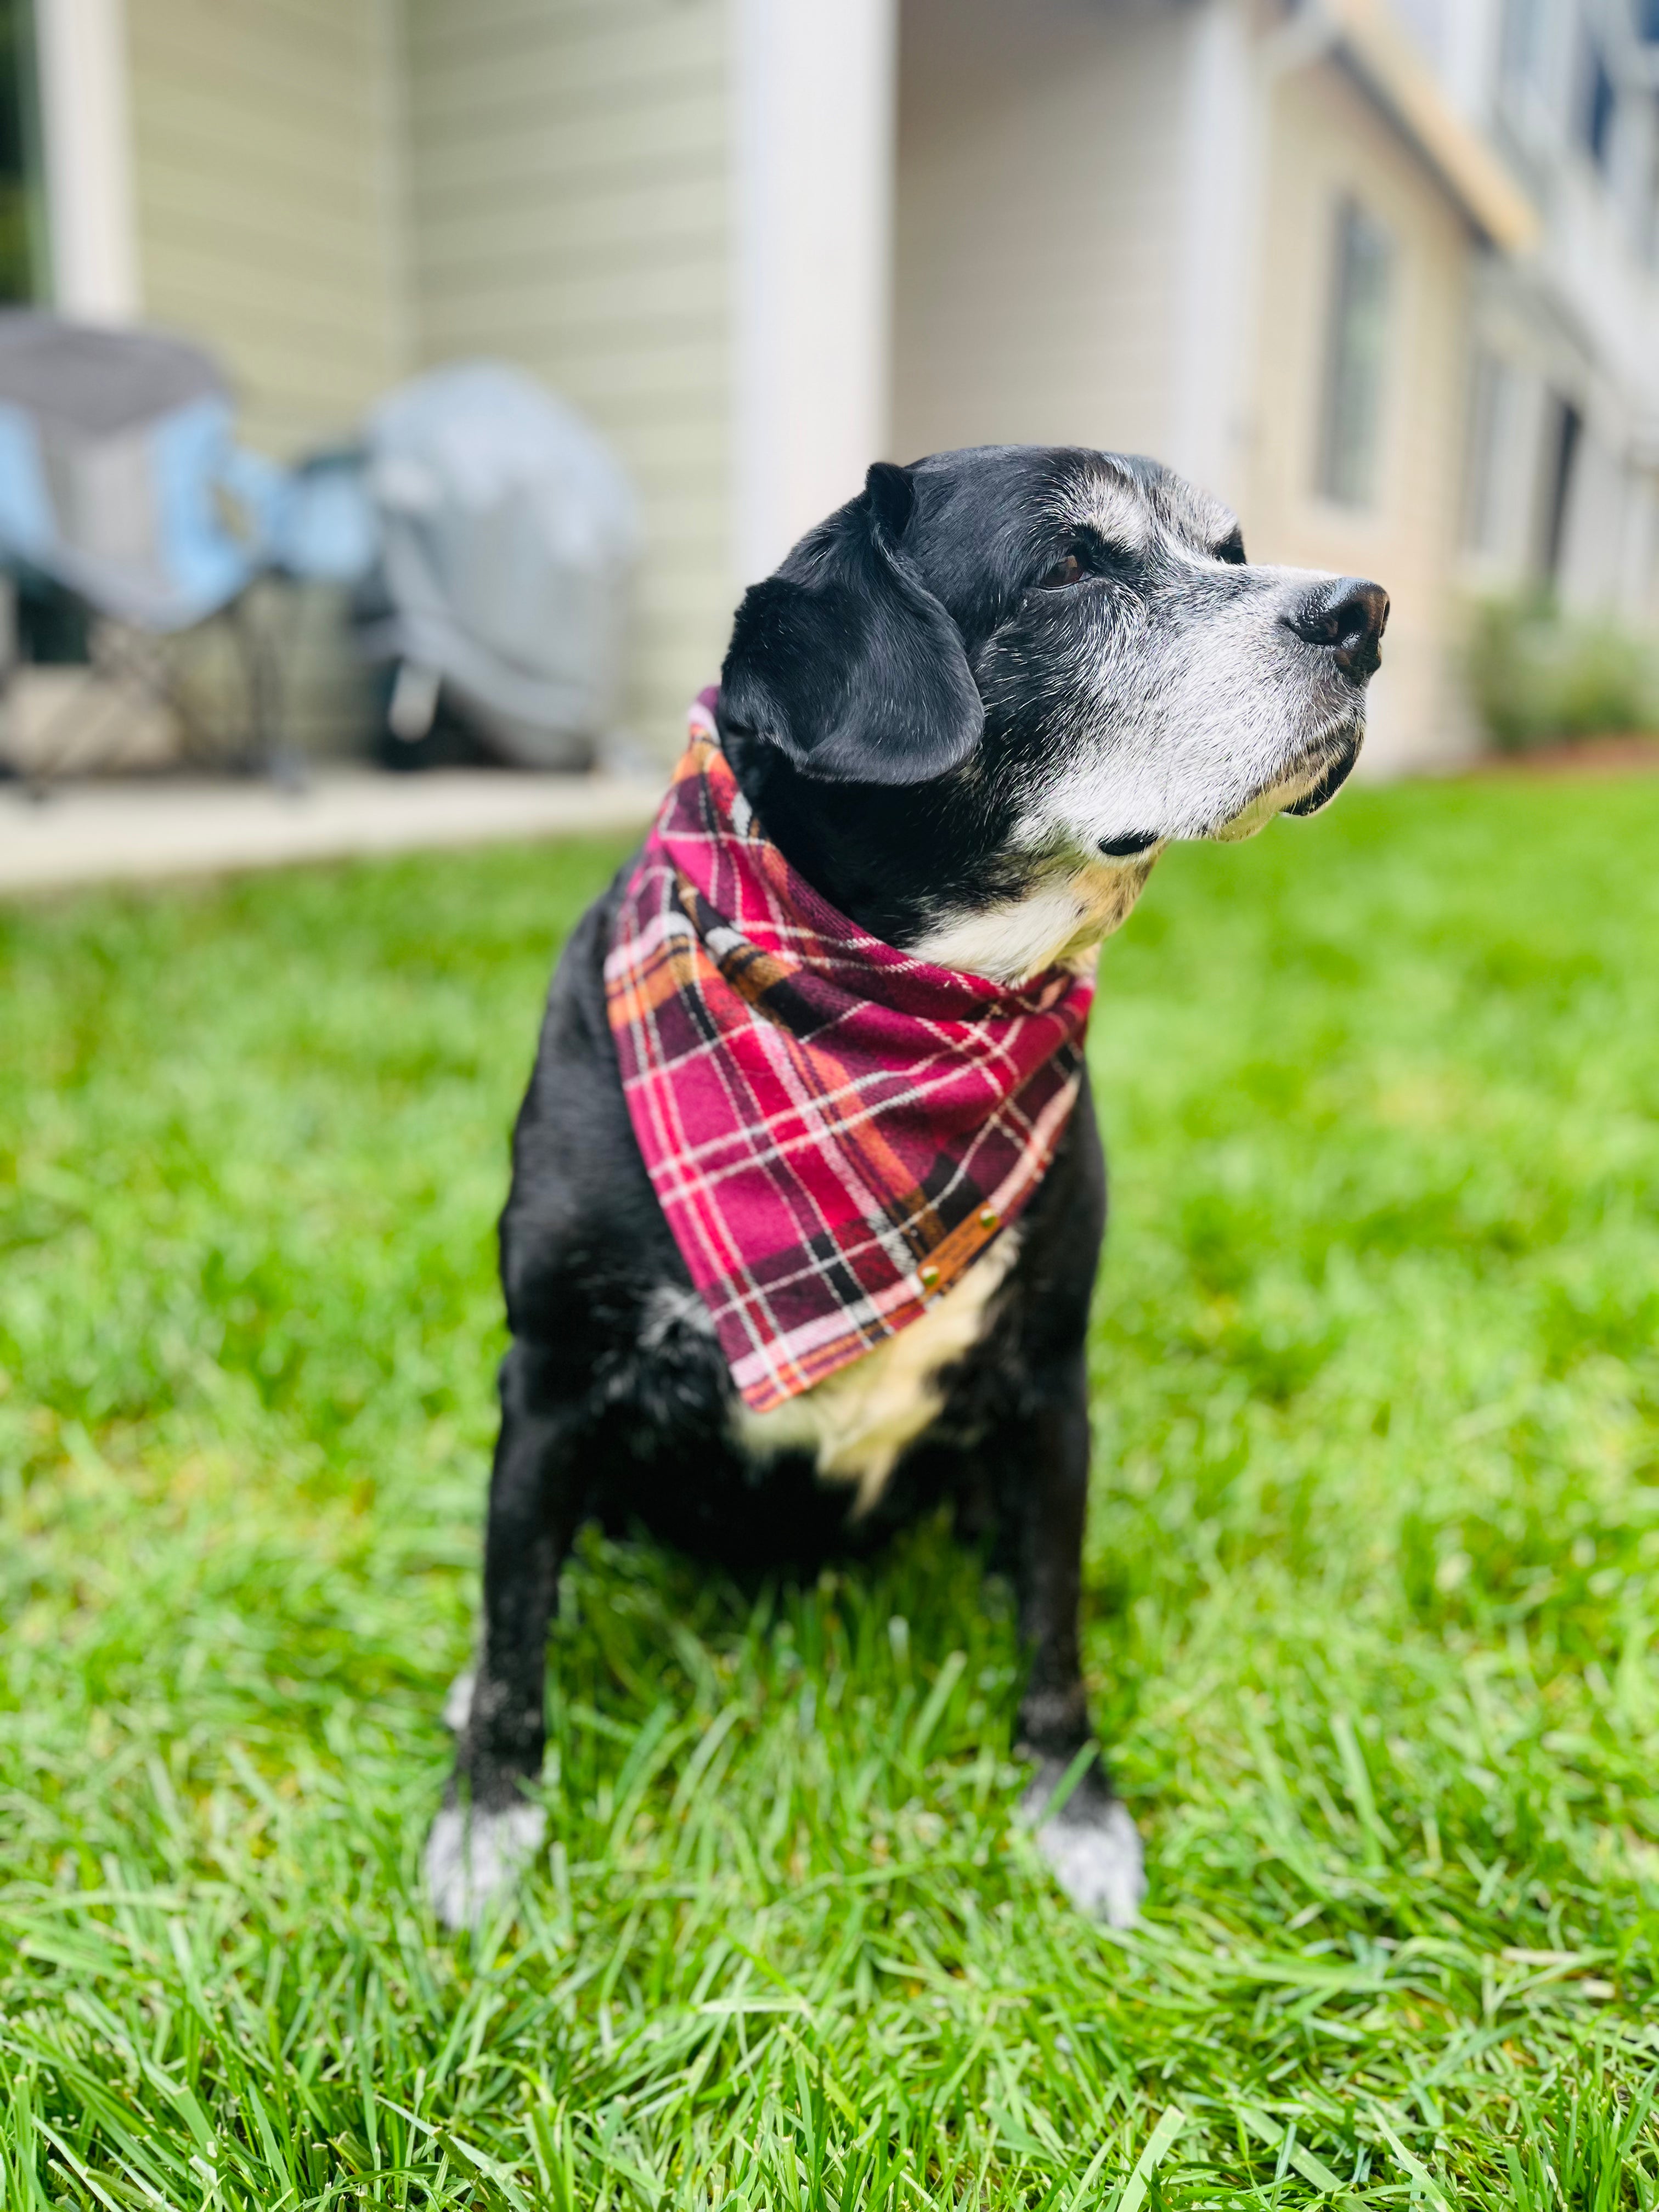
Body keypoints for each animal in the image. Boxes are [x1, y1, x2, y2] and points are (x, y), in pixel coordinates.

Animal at [429, 444, 1389, 1920]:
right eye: (1068, 566)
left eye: (1228, 549)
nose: (1366, 613)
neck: (888, 1015)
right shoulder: (549, 1380)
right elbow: (520, 1613)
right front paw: (488, 1817)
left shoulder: (1047, 1386)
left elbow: (1054, 1630)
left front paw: (1073, 1806)